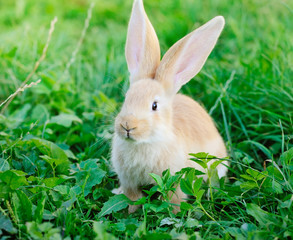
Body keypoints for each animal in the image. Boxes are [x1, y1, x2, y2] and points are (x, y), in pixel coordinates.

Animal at [110, 0, 227, 214]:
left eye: (154, 106)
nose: (128, 126)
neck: (146, 142)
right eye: (126, 98)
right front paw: (130, 213)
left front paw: (175, 214)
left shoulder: (176, 181)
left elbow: (175, 200)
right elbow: (132, 199)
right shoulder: (129, 182)